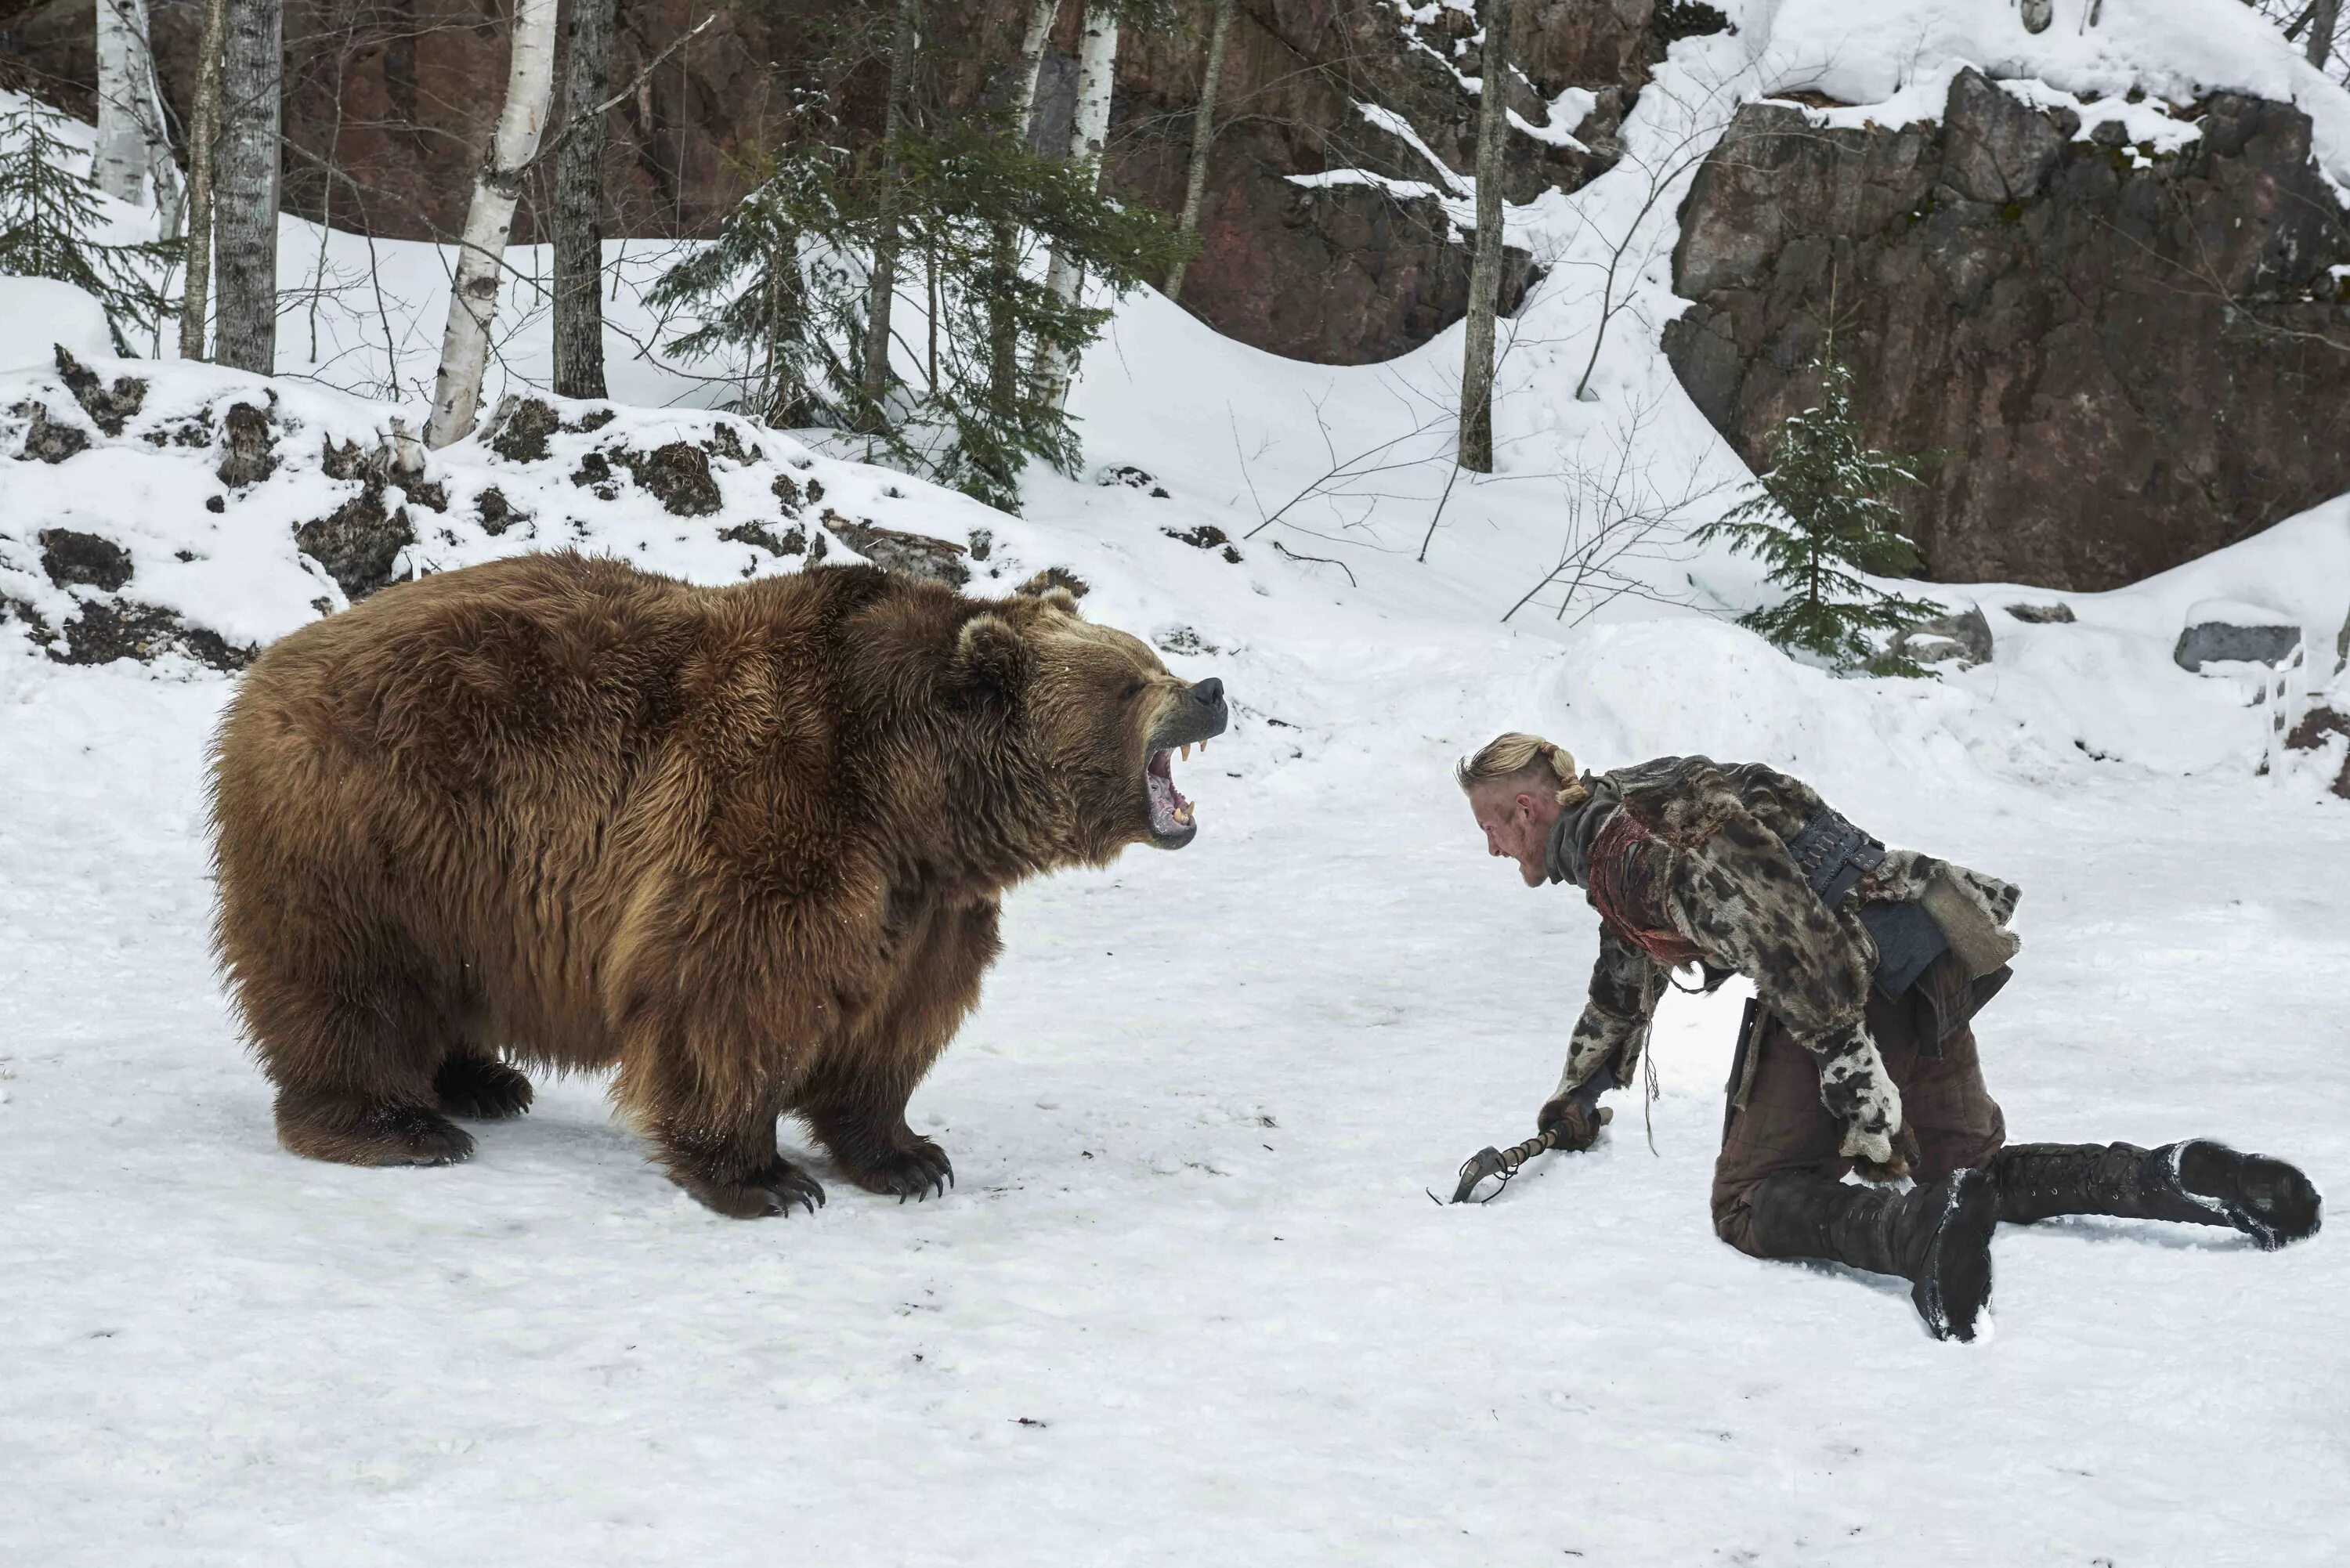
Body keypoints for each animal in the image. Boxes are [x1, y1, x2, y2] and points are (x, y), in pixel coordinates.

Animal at [209, 550, 1231, 1212]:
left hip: (455, 871)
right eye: (1131, 679)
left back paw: (482, 1080)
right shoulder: (777, 805)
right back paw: (396, 1124)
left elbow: (897, 1022)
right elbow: (734, 988)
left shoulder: (926, 903)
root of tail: (271, 665)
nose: (1211, 688)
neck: (918, 799)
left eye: (1151, 657)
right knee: (350, 978)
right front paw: (765, 1177)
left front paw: (909, 1156)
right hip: (378, 826)